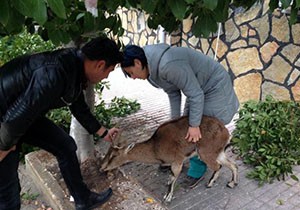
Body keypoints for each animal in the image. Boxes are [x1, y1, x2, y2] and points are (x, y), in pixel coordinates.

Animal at [101, 115, 239, 203]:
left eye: (114, 155)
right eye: (107, 153)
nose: (102, 167)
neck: (155, 147)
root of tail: (226, 133)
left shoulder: (177, 160)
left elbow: (173, 179)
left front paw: (167, 197)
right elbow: (171, 177)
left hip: (206, 153)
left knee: (218, 166)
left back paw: (210, 184)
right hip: (218, 152)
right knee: (233, 165)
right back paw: (232, 183)